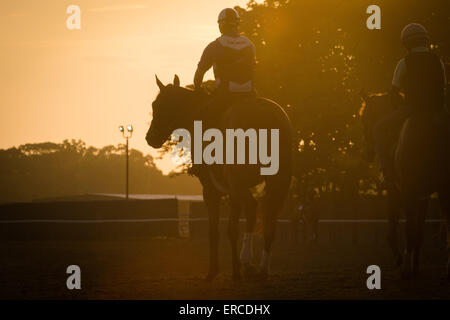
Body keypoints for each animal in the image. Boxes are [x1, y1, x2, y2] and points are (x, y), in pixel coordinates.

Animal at [144, 75, 292, 280]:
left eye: (159, 104)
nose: (150, 138)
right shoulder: (232, 194)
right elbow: (231, 229)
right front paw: (235, 270)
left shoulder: (211, 190)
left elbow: (214, 230)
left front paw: (214, 271)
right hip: (278, 182)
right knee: (271, 219)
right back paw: (262, 268)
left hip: (239, 182)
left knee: (252, 208)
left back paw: (246, 260)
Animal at [360, 91, 450, 278]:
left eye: (364, 118)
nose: (366, 153)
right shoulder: (422, 197)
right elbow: (418, 233)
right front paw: (415, 265)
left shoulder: (397, 193)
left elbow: (395, 233)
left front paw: (401, 260)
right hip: (443, 189)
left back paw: (406, 269)